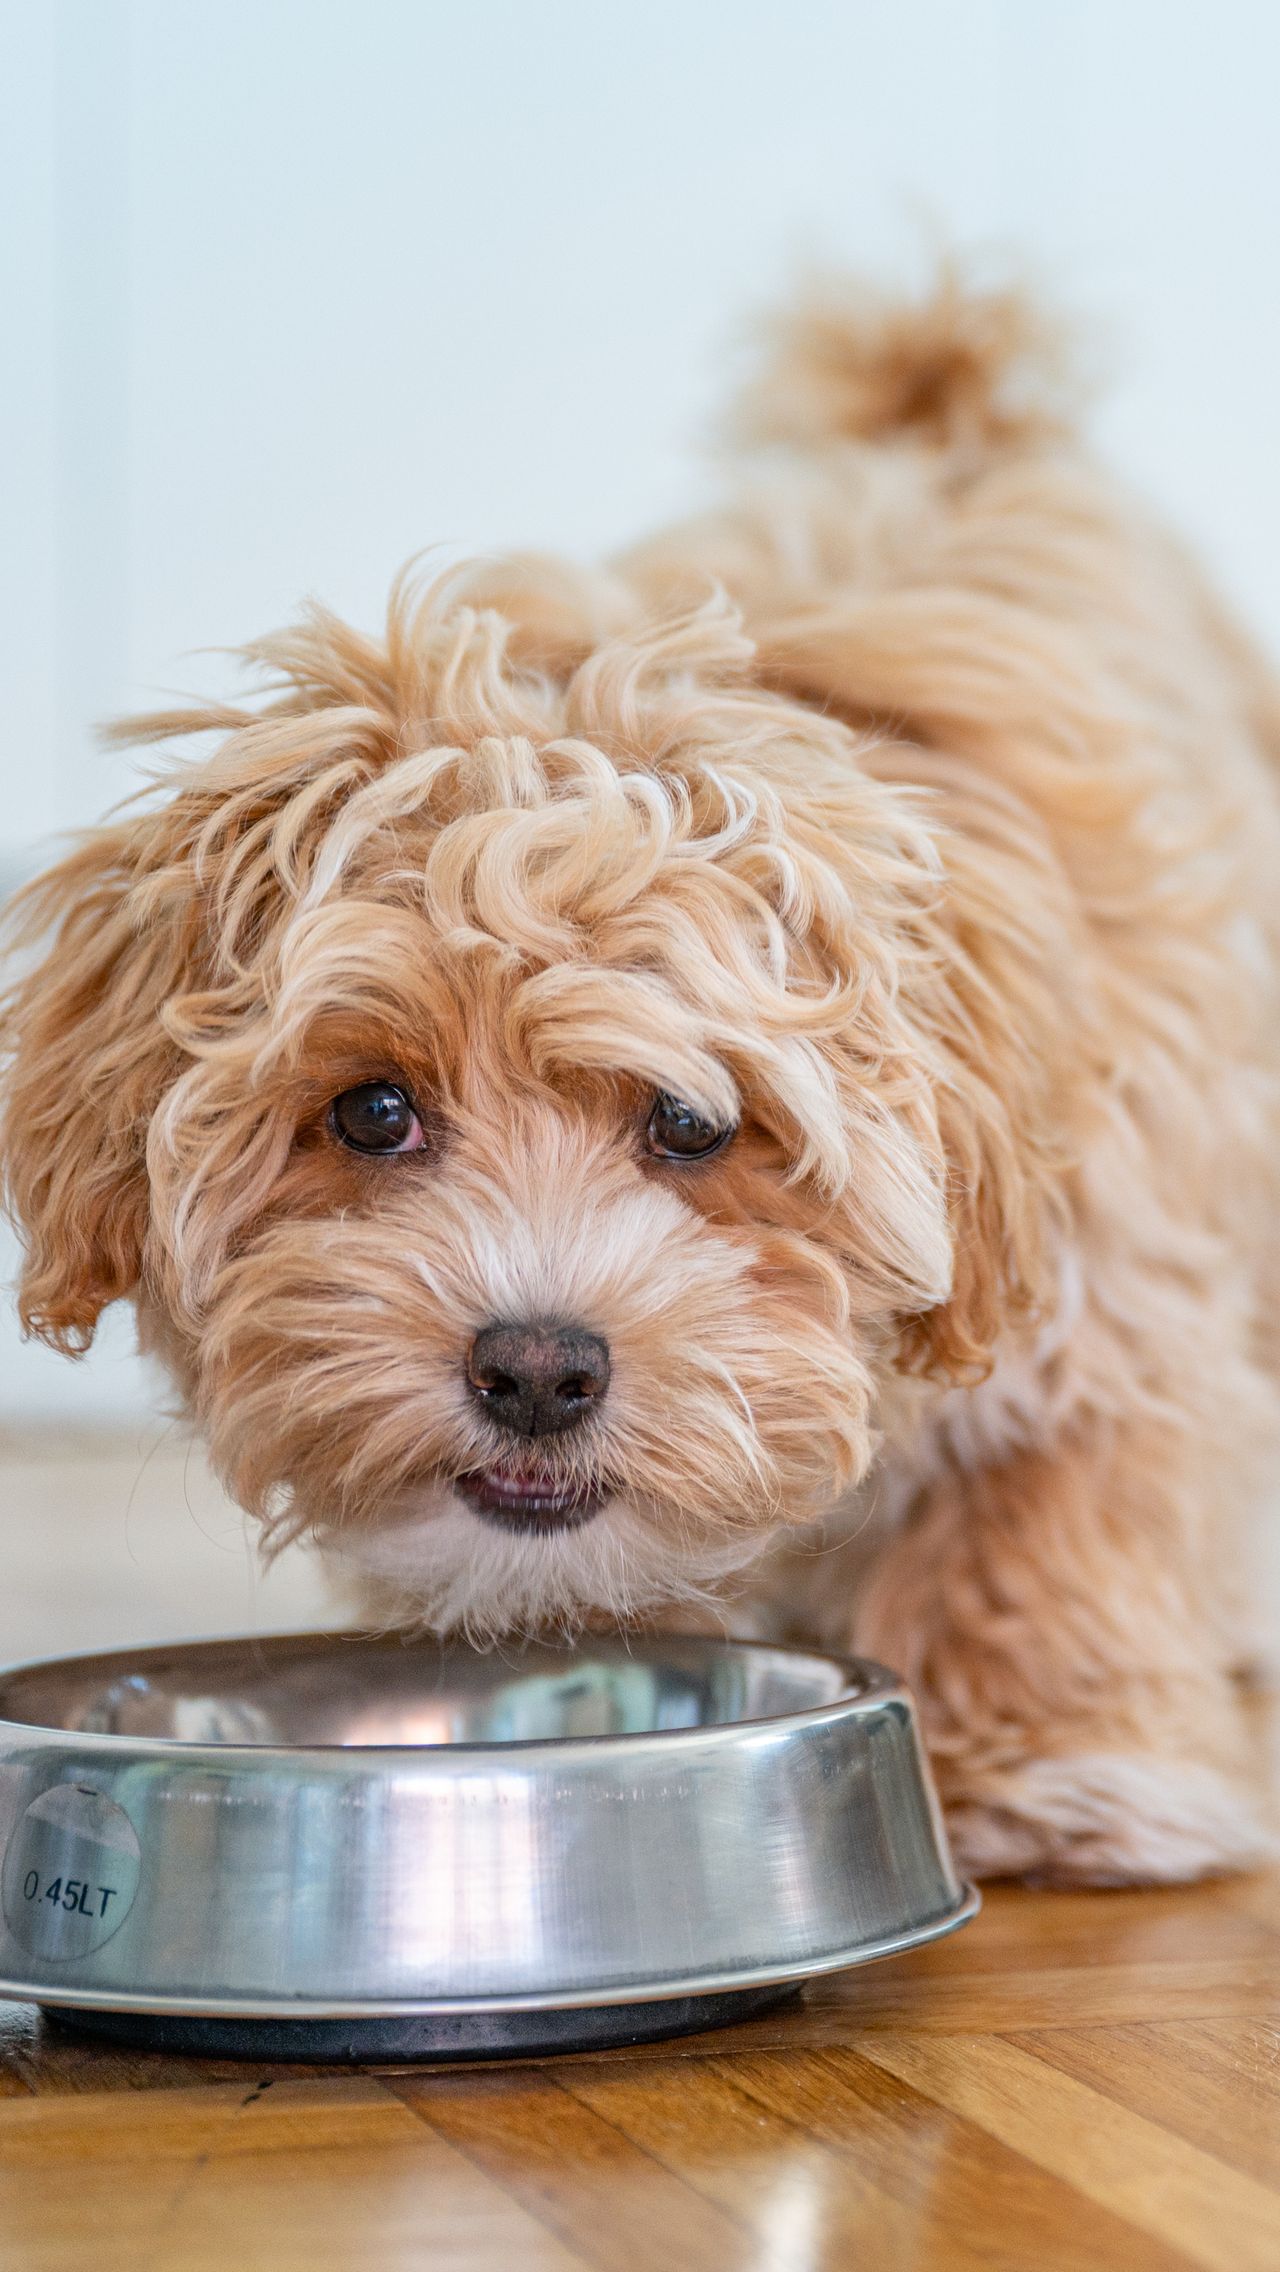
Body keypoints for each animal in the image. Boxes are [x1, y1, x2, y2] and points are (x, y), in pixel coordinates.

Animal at [2, 274, 1280, 1890]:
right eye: (372, 1112)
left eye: (691, 1123)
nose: (538, 1371)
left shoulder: (1109, 1266)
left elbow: (1050, 1489)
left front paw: (1056, 1763)